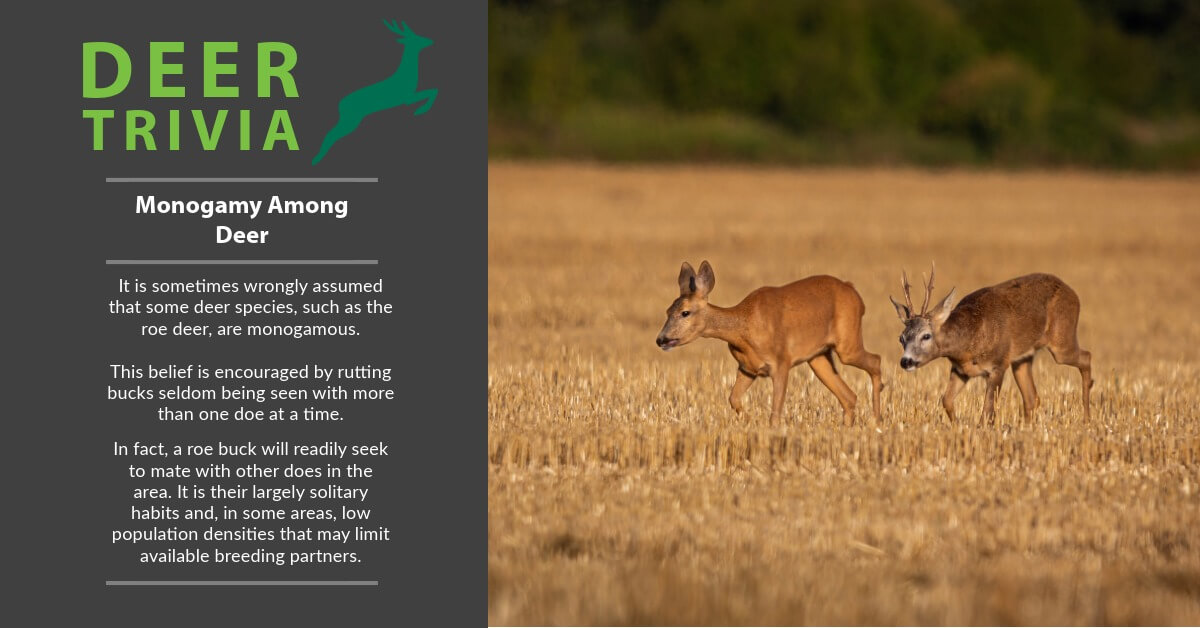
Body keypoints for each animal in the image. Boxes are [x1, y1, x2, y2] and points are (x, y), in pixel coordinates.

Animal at [311, 20, 438, 165]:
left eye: (418, 35)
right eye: (416, 38)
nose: (431, 40)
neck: (406, 77)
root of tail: (340, 105)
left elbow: (433, 90)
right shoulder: (406, 98)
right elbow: (432, 91)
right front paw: (420, 110)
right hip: (351, 118)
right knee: (332, 134)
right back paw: (316, 159)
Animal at [656, 261, 882, 425]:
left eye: (685, 312)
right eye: (667, 311)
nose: (661, 339)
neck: (745, 328)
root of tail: (855, 293)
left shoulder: (781, 362)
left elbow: (775, 414)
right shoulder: (747, 367)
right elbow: (733, 398)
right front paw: (750, 421)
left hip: (847, 344)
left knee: (876, 360)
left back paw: (876, 419)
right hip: (818, 357)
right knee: (849, 396)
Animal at [890, 263, 1093, 426]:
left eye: (926, 336)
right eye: (901, 338)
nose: (906, 361)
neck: (969, 340)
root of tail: (1073, 293)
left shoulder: (998, 365)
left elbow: (987, 413)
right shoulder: (960, 370)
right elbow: (946, 400)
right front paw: (958, 426)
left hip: (1061, 340)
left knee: (1086, 356)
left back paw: (1087, 418)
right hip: (1022, 359)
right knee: (1032, 398)